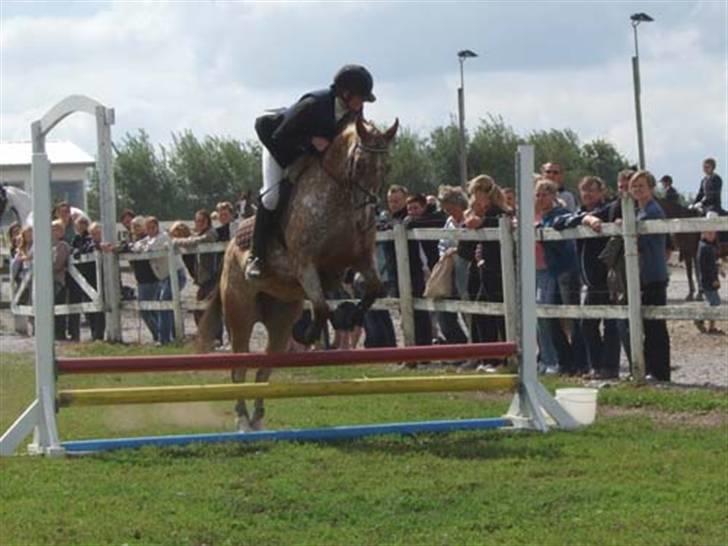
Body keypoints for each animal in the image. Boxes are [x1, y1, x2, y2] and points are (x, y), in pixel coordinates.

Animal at [198, 117, 398, 432]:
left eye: (386, 167)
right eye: (360, 164)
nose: (368, 218)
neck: (338, 199)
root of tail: (229, 250)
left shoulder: (360, 259)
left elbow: (374, 288)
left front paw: (350, 317)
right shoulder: (305, 264)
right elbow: (321, 306)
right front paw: (310, 334)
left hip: (280, 320)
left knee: (264, 370)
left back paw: (257, 419)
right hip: (240, 315)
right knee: (239, 368)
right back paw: (242, 419)